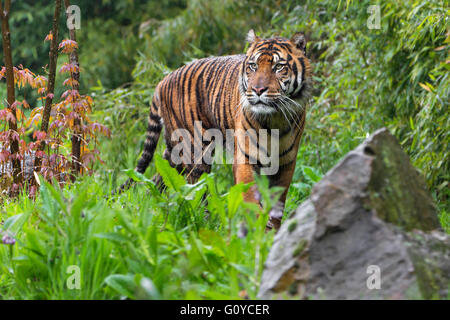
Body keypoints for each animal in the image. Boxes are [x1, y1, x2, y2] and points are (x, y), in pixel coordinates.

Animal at [118, 30, 312, 230]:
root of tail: (163, 81)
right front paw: (254, 230)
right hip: (195, 151)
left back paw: (150, 211)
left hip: (175, 152)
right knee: (196, 190)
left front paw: (272, 231)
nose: (258, 90)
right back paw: (201, 222)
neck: (275, 118)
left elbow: (276, 205)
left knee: (157, 181)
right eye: (253, 66)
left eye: (278, 67)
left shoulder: (286, 163)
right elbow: (251, 198)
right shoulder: (245, 158)